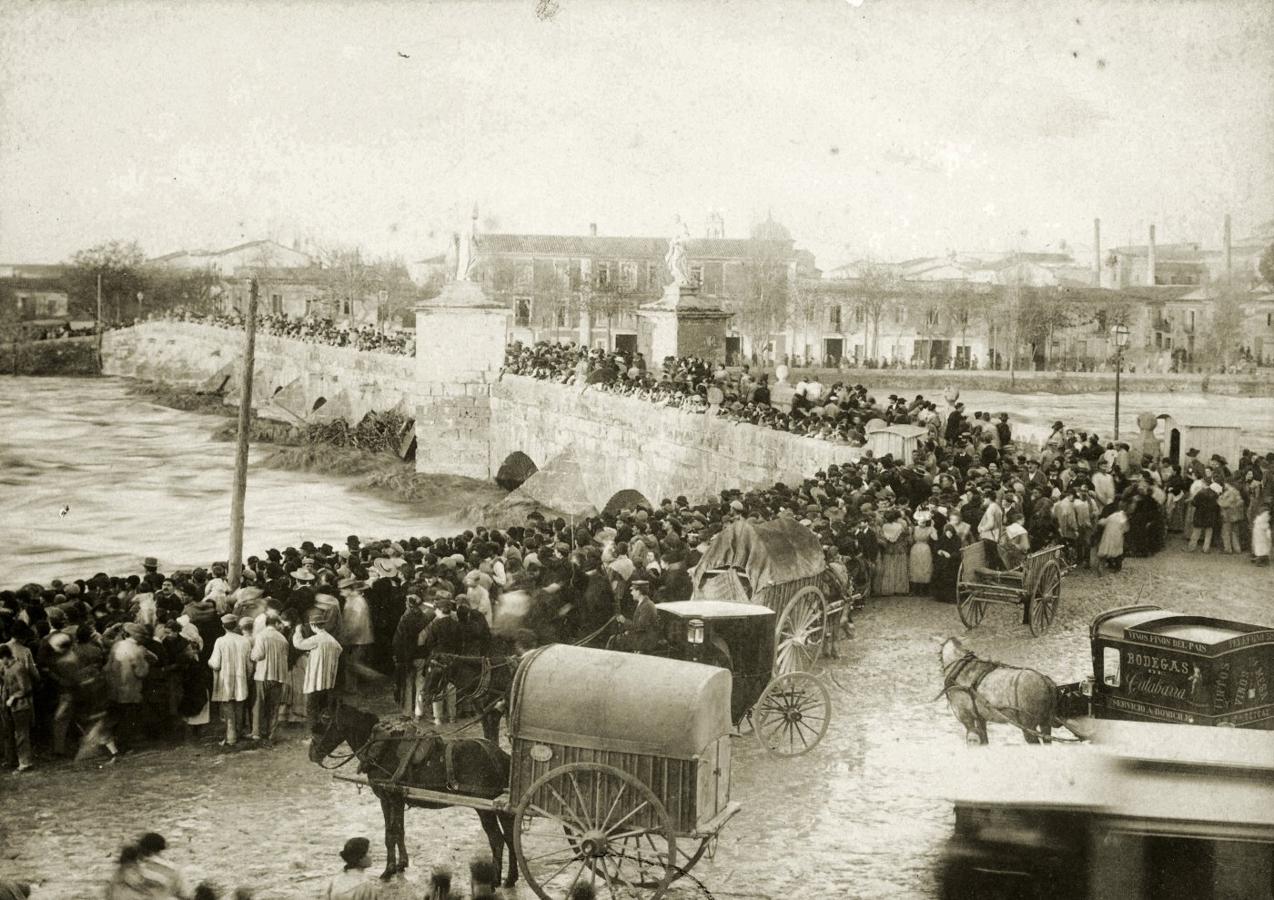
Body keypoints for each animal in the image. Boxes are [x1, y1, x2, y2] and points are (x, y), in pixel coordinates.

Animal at [309, 698, 517, 882]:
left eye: (325, 717)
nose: (311, 753)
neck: (379, 744)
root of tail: (498, 754)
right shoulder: (395, 799)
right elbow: (398, 831)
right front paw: (401, 864)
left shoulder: (390, 797)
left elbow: (391, 833)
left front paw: (388, 870)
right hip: (499, 805)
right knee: (510, 836)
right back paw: (510, 878)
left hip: (484, 808)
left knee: (497, 840)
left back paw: (495, 880)